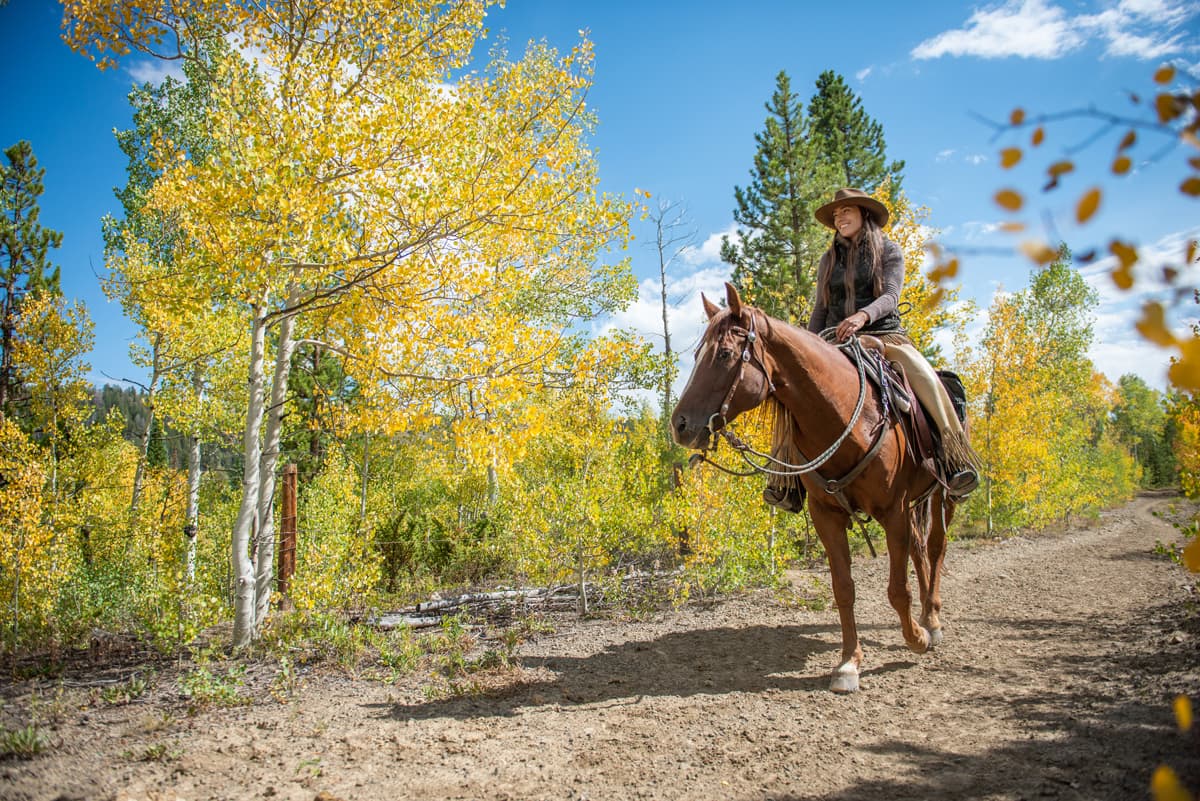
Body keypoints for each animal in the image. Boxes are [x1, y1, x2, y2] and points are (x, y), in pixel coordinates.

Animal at [670, 282, 954, 693]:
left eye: (724, 354)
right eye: (696, 354)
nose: (679, 425)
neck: (848, 419)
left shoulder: (894, 510)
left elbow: (896, 588)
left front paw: (915, 637)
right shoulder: (827, 515)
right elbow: (844, 589)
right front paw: (849, 663)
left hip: (942, 495)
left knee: (935, 549)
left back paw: (931, 621)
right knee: (920, 551)